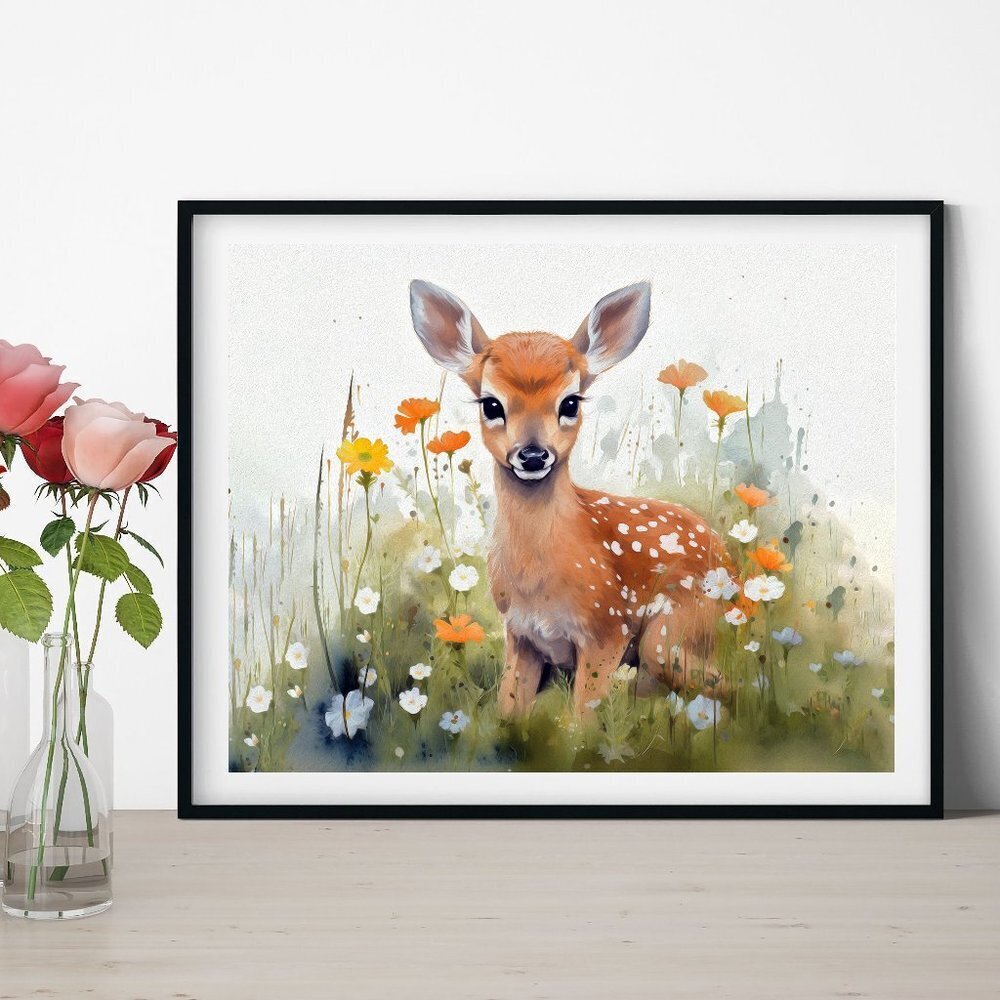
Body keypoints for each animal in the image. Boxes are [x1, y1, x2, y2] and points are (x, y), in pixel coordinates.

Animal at [408, 280, 738, 717]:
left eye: (570, 402)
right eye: (491, 404)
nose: (533, 455)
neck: (538, 579)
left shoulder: (607, 628)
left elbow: (582, 718)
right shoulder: (520, 634)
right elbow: (508, 709)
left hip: (673, 632)